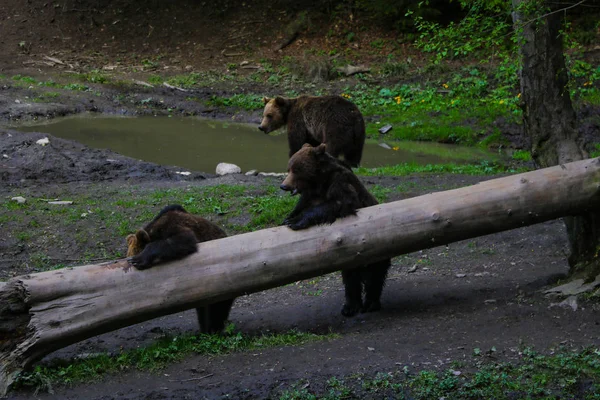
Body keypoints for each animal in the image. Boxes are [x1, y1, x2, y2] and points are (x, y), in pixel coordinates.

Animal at [126, 203, 234, 334]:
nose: (129, 260)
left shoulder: (176, 227)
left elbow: (183, 239)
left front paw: (139, 259)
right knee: (203, 310)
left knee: (218, 308)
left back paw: (213, 328)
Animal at [278, 143, 392, 316]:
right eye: (289, 168)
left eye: (297, 169)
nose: (284, 185)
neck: (318, 183)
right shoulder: (309, 195)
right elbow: (300, 205)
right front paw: (288, 218)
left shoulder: (339, 183)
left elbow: (339, 202)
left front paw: (296, 222)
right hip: (350, 259)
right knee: (351, 278)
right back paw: (350, 306)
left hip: (378, 251)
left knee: (375, 275)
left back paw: (371, 303)